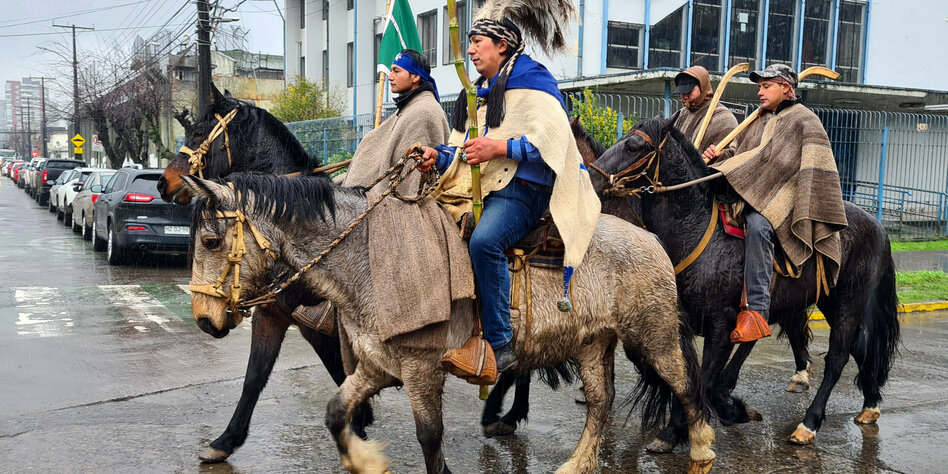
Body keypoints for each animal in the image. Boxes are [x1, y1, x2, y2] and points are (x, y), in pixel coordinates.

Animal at [178, 174, 716, 474]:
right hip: (592, 343)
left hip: (653, 337)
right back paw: (578, 464)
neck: (370, 259)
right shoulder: (375, 367)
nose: (205, 320)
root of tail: (651, 240)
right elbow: (335, 413)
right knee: (601, 404)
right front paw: (365, 460)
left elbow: (429, 438)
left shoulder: (421, 370)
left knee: (686, 386)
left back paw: (702, 450)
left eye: (210, 240)